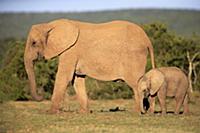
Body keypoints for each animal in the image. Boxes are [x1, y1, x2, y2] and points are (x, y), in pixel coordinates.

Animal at [23, 19, 155, 114]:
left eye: (34, 43)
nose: (41, 96)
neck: (49, 25)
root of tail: (147, 40)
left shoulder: (71, 51)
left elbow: (64, 77)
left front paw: (49, 113)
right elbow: (76, 79)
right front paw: (82, 113)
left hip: (134, 56)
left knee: (136, 83)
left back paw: (138, 112)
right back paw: (147, 111)